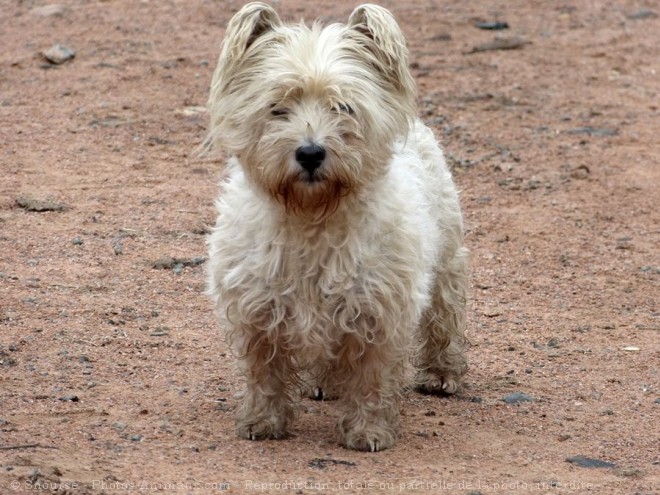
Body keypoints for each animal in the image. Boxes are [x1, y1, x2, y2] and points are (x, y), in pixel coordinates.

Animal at [206, 2, 470, 454]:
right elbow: (264, 373)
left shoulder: (379, 311)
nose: (310, 152)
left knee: (443, 317)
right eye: (277, 108)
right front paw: (262, 421)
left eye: (344, 107)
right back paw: (326, 384)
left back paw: (442, 373)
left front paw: (368, 431)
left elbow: (370, 379)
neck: (313, 218)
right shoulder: (257, 310)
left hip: (446, 259)